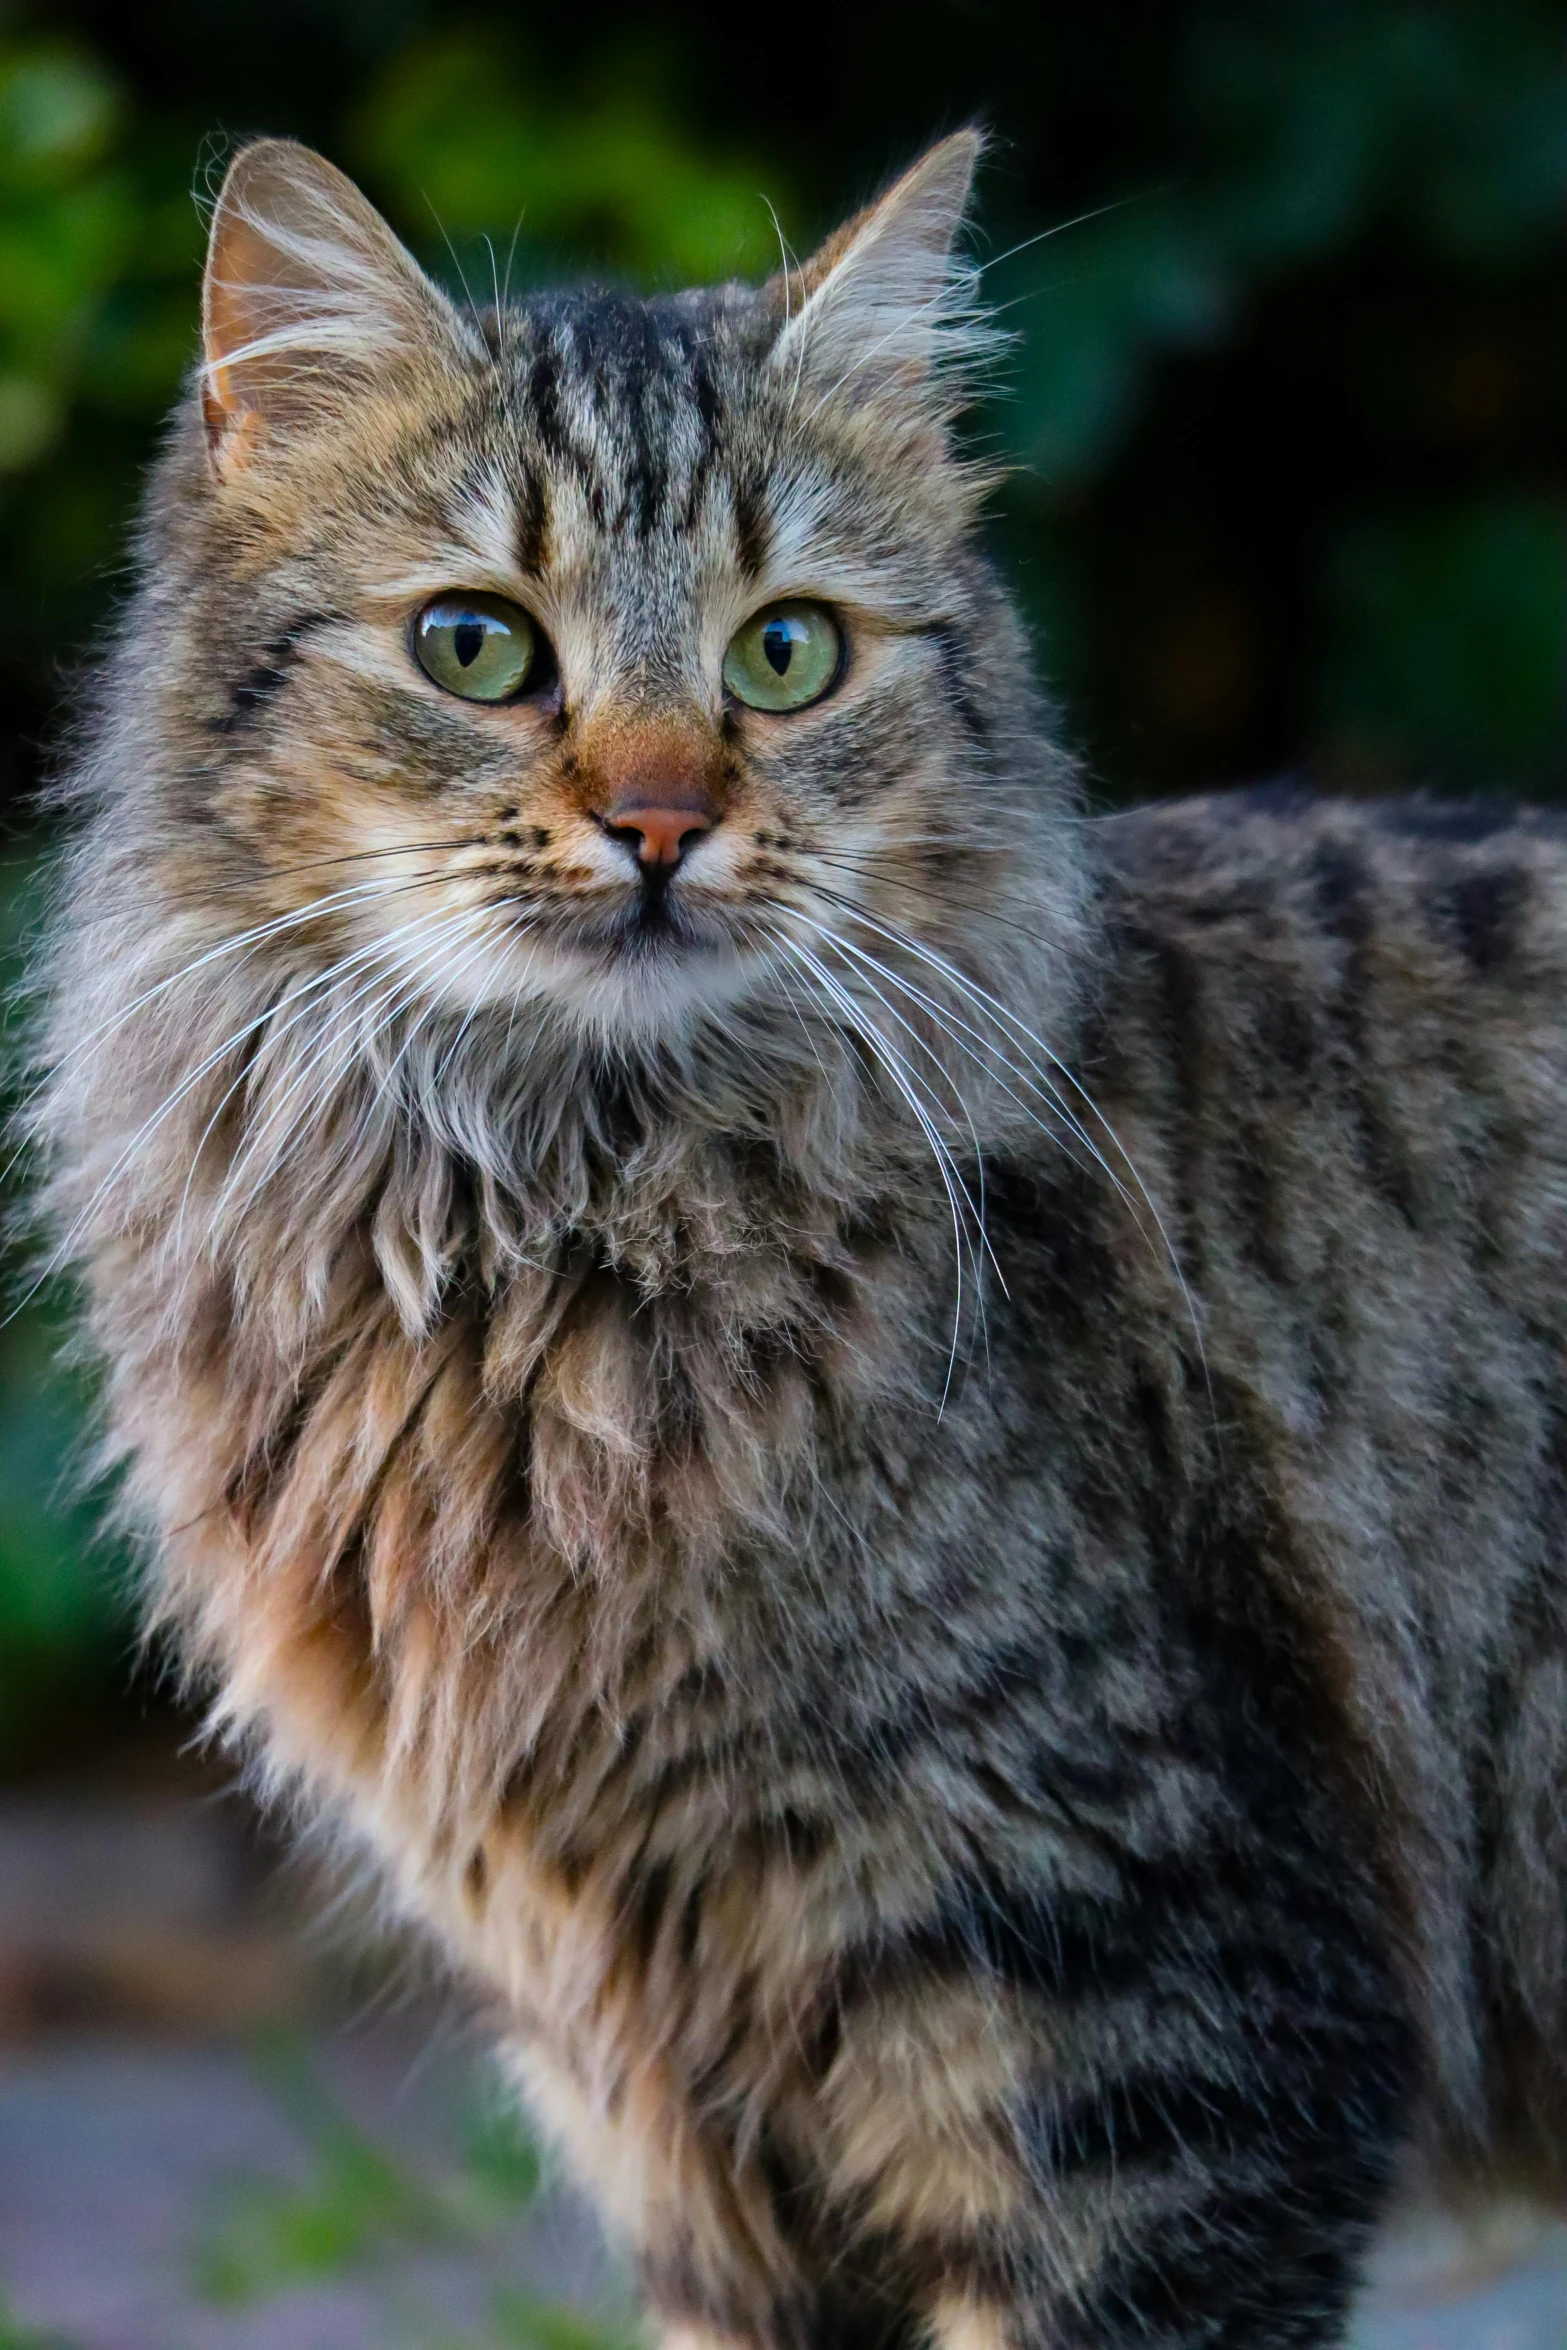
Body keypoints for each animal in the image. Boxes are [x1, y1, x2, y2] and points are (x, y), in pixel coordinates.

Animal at [24, 123, 1567, 2350]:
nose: (664, 820)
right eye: (475, 645)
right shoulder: (664, 2108)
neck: (545, 1228)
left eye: (785, 653)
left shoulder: (1146, 2020)